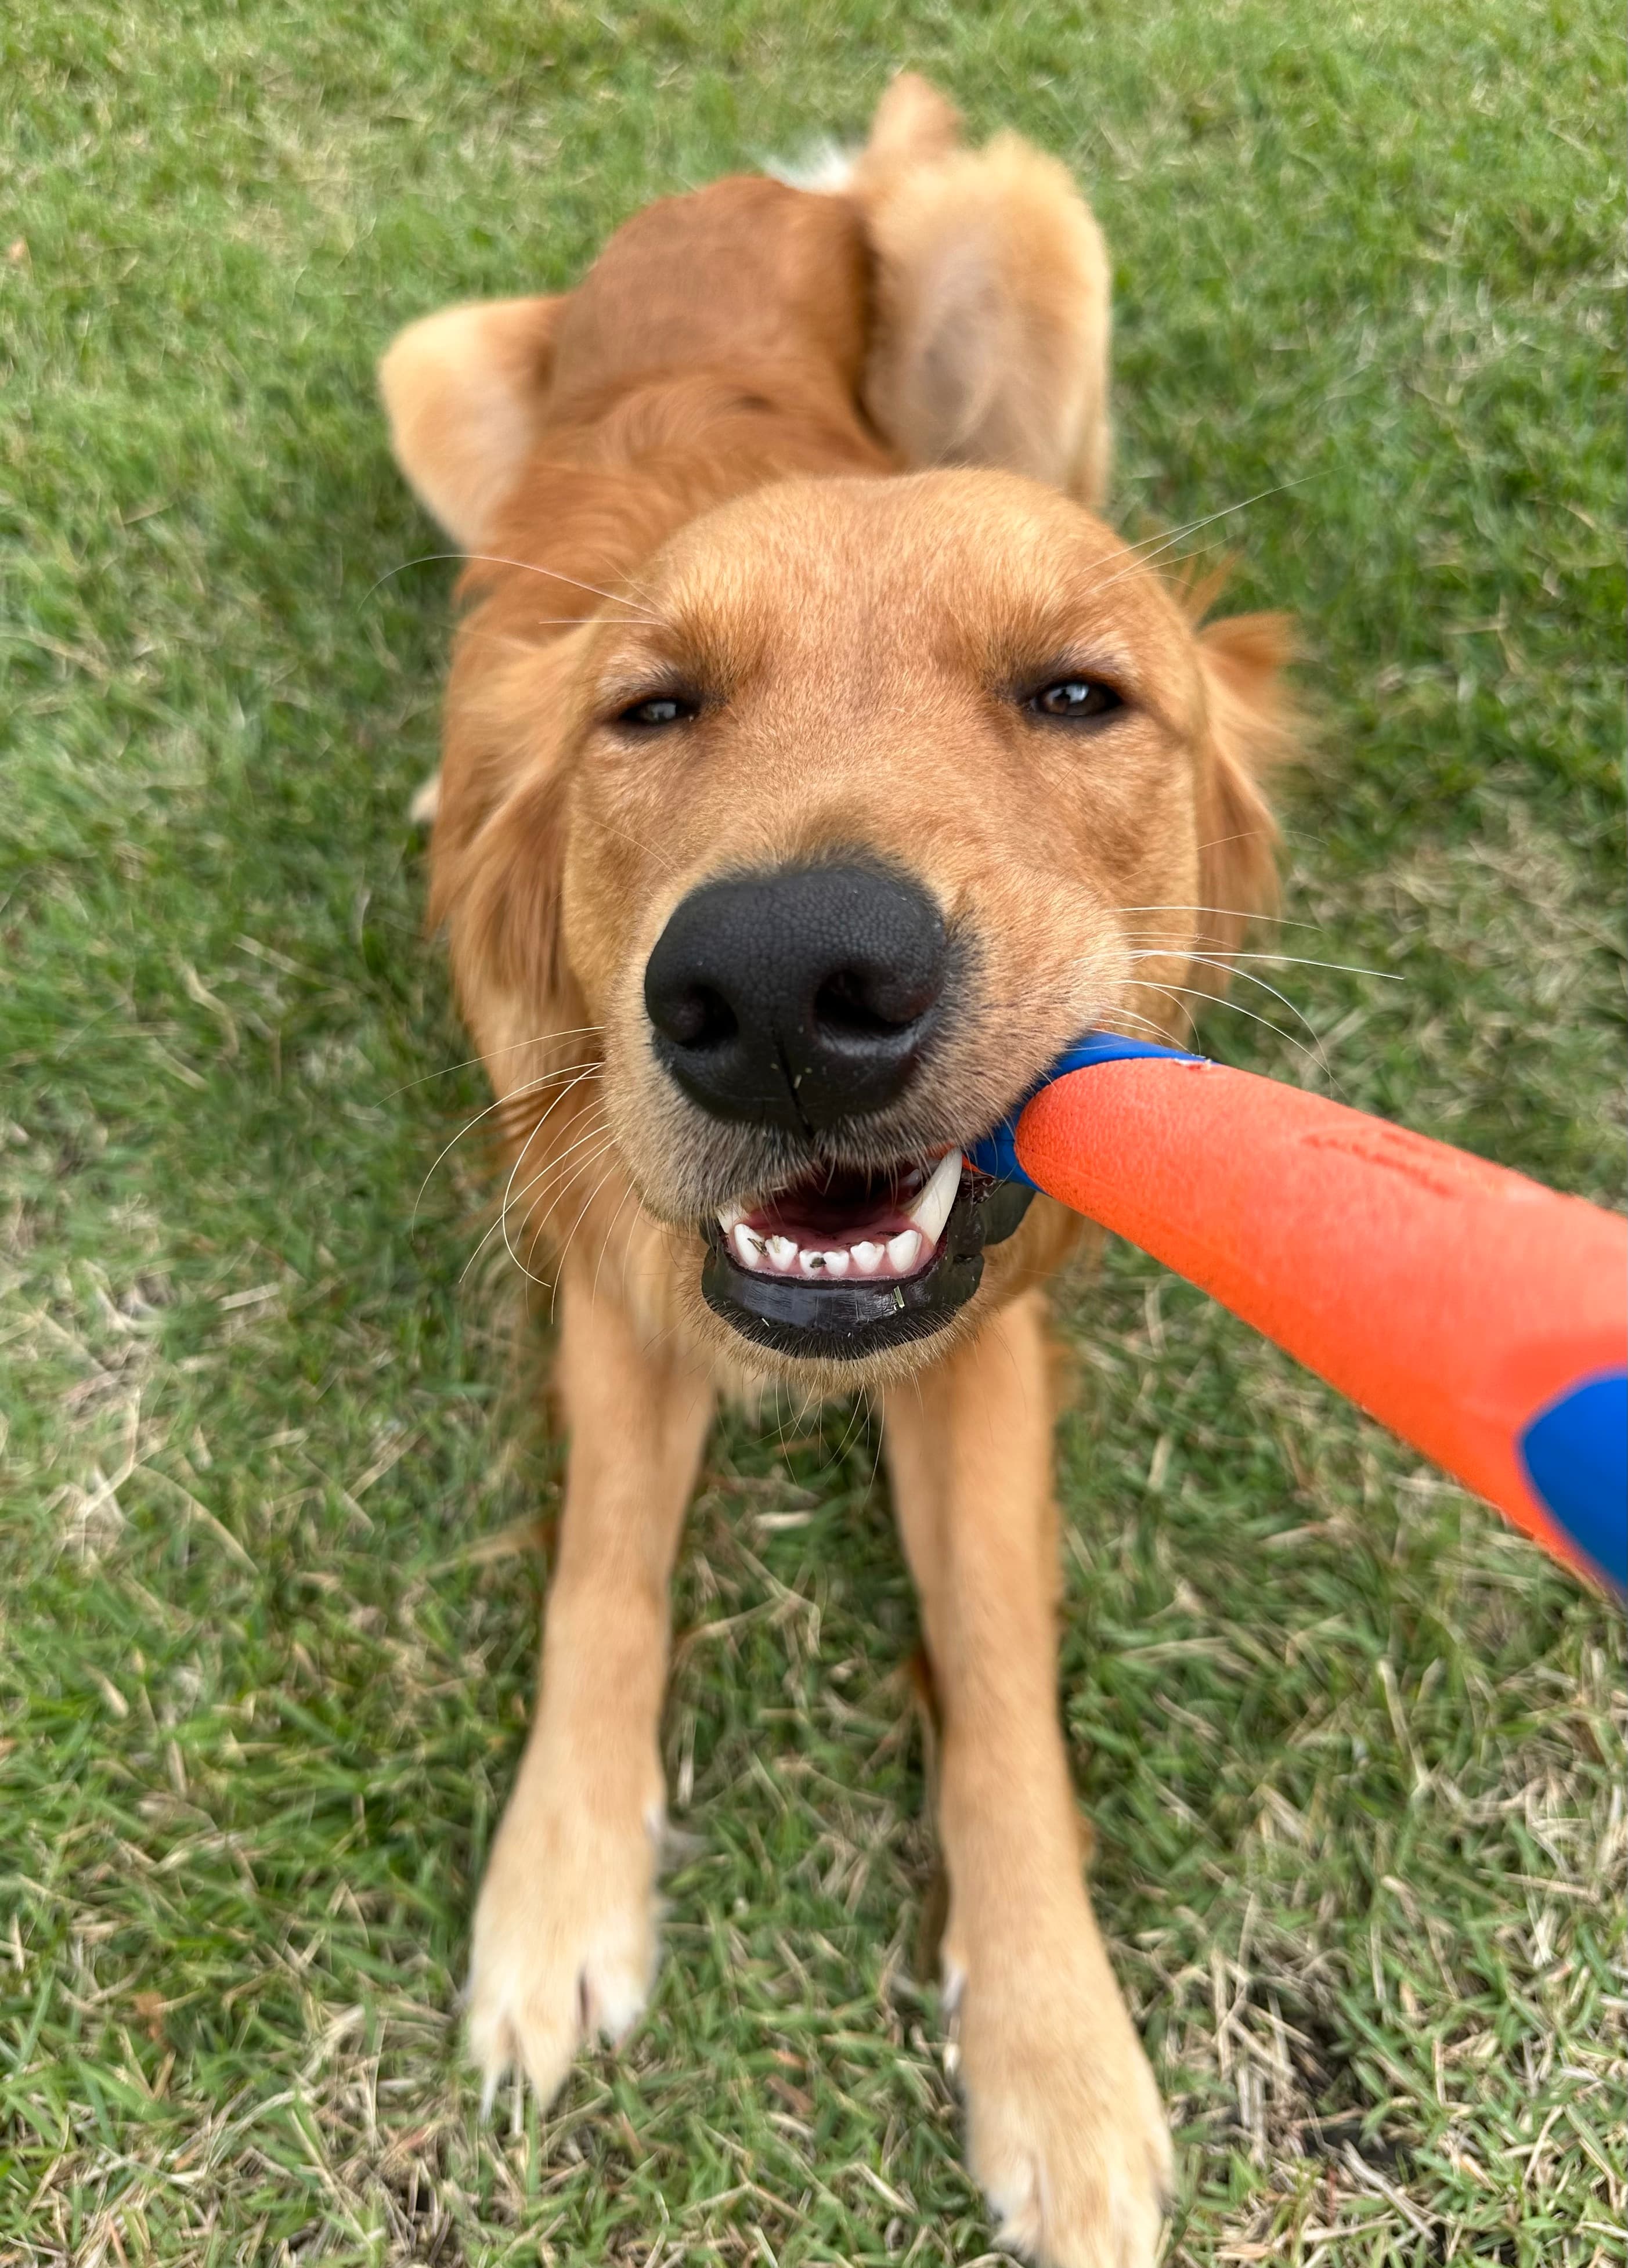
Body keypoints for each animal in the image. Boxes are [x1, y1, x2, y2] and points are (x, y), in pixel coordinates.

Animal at [376, 71, 1297, 2268]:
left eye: (1076, 694)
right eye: (648, 709)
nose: (789, 985)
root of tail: (758, 185)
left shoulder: (976, 1341)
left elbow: (1001, 1675)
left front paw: (1055, 2051)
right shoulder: (618, 1274)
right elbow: (605, 1572)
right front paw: (558, 1892)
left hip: (1030, 248)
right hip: (426, 367)